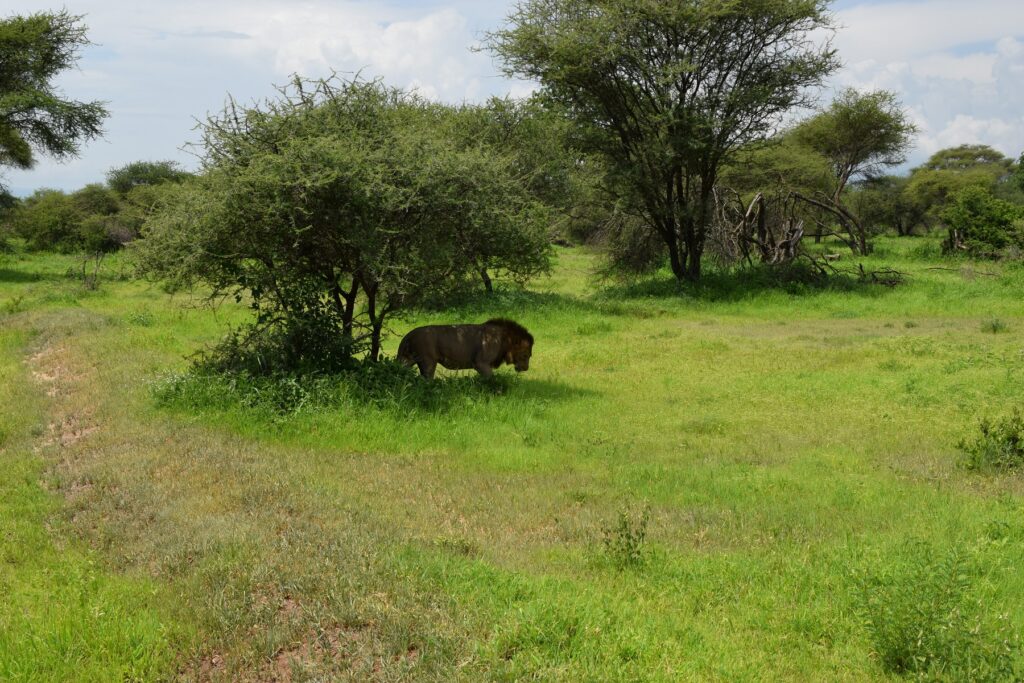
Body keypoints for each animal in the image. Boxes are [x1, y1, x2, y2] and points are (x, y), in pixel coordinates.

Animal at [397, 318, 534, 379]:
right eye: (525, 355)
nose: (526, 368)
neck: (505, 340)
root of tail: (409, 335)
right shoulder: (480, 363)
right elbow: (491, 379)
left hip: (407, 360)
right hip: (428, 362)